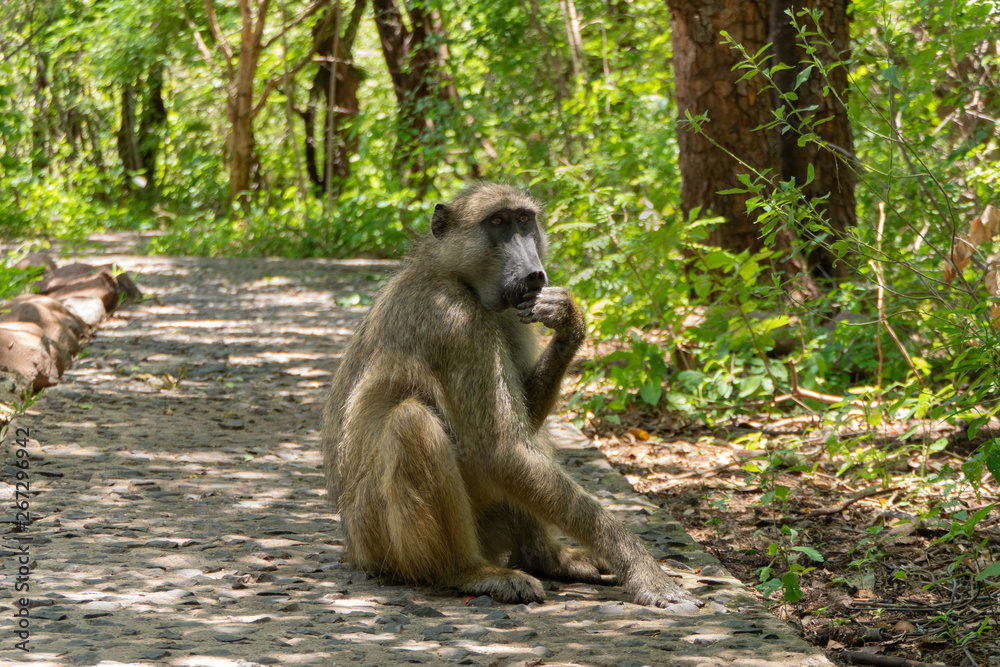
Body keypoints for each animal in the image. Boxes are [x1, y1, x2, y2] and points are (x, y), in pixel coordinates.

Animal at [321, 182, 702, 608]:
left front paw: (569, 320)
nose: (534, 272)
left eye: (524, 220)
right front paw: (642, 568)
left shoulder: (512, 314)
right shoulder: (455, 320)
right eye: (498, 222)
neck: (458, 277)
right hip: (379, 539)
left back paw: (546, 558)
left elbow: (522, 432)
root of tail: (352, 550)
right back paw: (466, 572)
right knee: (413, 422)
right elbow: (502, 451)